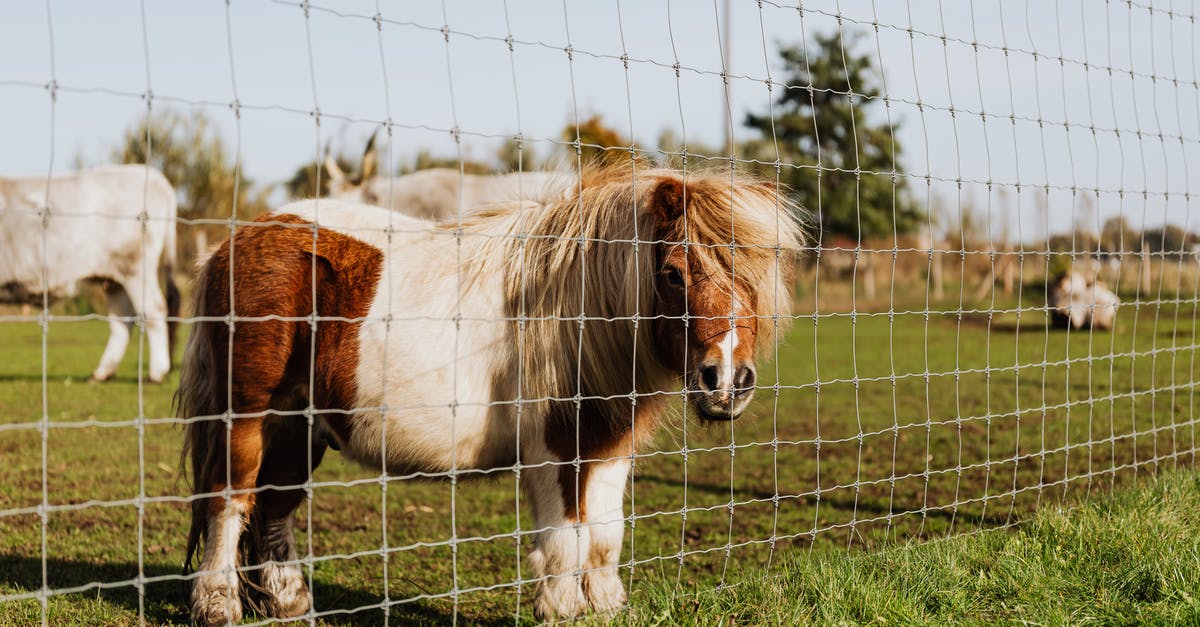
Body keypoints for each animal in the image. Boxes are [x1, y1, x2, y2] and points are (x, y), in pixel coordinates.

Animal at [0, 163, 178, 379]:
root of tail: (152, 175)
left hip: (135, 268)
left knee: (154, 309)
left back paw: (156, 373)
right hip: (115, 279)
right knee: (122, 319)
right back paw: (102, 373)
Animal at [180, 164, 806, 619]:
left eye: (757, 277)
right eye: (673, 274)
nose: (727, 382)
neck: (580, 311)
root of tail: (238, 239)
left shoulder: (609, 446)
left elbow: (604, 535)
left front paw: (606, 608)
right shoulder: (555, 448)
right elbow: (564, 539)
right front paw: (562, 609)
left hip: (296, 423)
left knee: (275, 508)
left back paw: (289, 602)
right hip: (246, 417)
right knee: (229, 499)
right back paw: (217, 606)